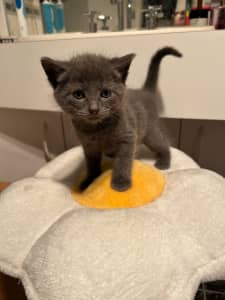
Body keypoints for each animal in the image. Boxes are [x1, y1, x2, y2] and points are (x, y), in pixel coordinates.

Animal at [40, 47, 181, 192]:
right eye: (78, 95)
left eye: (105, 94)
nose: (94, 109)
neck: (97, 129)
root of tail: (146, 91)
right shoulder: (89, 146)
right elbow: (91, 164)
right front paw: (90, 181)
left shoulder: (128, 137)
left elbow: (123, 161)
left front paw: (121, 182)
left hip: (150, 133)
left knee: (163, 143)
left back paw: (164, 161)